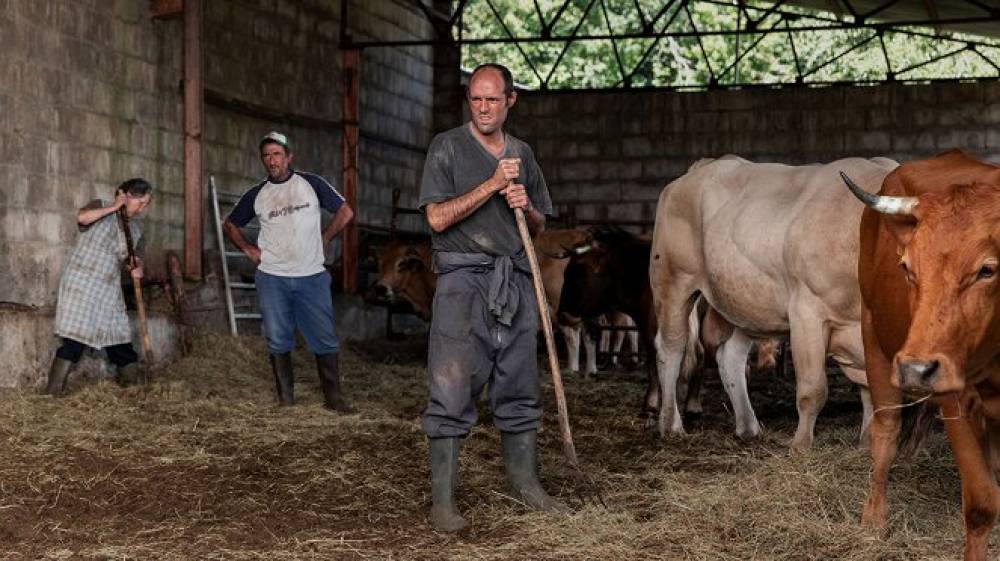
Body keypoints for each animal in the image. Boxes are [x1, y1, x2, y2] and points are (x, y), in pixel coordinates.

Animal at [844, 150, 1000, 560]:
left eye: (987, 270)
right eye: (907, 267)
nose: (917, 369)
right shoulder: (956, 399)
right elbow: (980, 503)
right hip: (875, 342)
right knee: (885, 431)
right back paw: (874, 519)